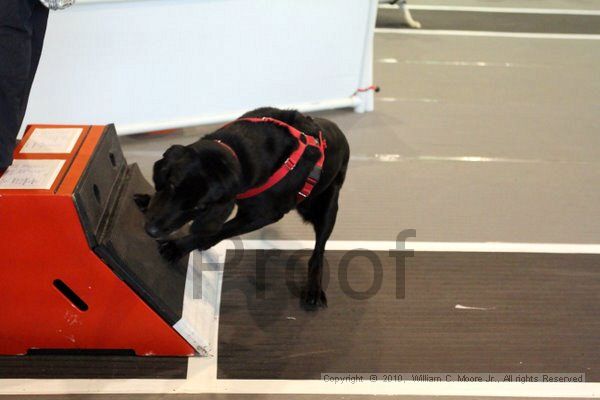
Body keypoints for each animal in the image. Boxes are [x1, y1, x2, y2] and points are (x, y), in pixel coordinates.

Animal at [134, 107, 350, 310]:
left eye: (199, 206)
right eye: (171, 184)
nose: (151, 230)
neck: (240, 153)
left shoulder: (262, 216)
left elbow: (218, 229)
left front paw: (177, 248)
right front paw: (147, 200)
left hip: (329, 207)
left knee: (318, 252)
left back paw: (313, 290)